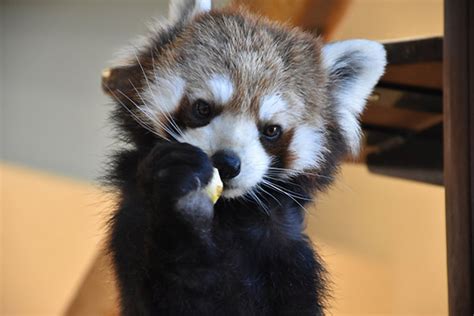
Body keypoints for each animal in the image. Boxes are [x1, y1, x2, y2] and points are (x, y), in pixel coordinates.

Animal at [103, 1, 386, 314]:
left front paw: (187, 208)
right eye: (202, 108)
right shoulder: (133, 216)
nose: (227, 163)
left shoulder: (286, 249)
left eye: (271, 130)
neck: (229, 212)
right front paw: (183, 199)